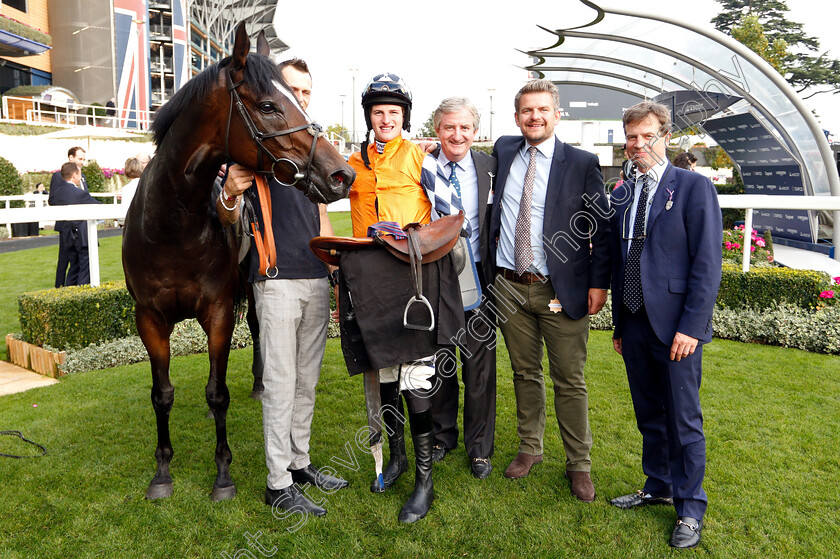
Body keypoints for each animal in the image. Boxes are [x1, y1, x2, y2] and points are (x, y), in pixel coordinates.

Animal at [123, 23, 352, 504]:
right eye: (268, 105)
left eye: (296, 97)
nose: (342, 174)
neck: (172, 227)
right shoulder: (148, 317)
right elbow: (162, 394)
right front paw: (162, 471)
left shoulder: (219, 311)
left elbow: (218, 392)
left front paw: (222, 474)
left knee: (261, 336)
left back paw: (262, 386)